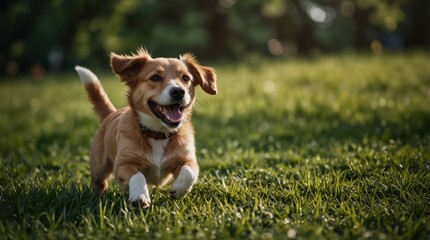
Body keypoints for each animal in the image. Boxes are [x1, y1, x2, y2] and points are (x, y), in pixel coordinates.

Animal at [74, 47, 218, 207]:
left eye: (186, 78)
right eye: (155, 77)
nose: (178, 92)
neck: (159, 133)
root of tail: (111, 114)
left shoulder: (187, 159)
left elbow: (189, 172)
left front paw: (179, 189)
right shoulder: (123, 163)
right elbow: (137, 176)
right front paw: (139, 196)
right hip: (99, 166)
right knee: (98, 183)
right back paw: (97, 197)